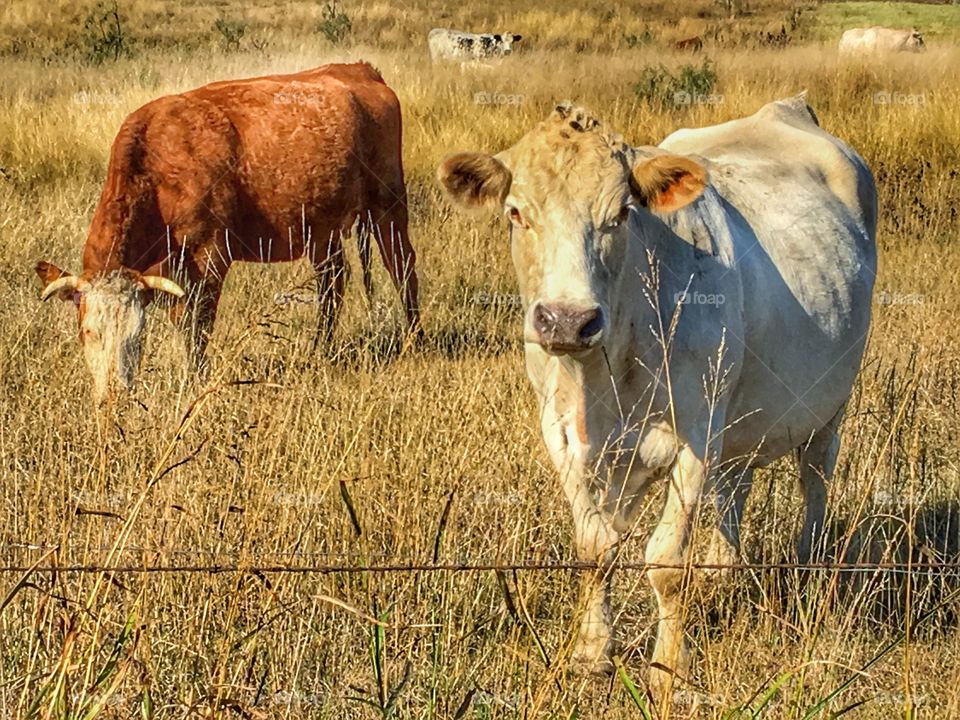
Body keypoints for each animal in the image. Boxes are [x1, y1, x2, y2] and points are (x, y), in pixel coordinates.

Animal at [36, 62, 420, 403]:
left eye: (136, 335)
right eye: (88, 332)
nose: (114, 391)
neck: (157, 166)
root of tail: (360, 69)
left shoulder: (209, 254)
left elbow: (197, 321)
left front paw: (197, 379)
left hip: (388, 204)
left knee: (402, 267)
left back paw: (414, 340)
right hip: (320, 227)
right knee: (333, 281)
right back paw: (320, 349)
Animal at [437, 94, 876, 700]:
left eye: (621, 214)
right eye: (517, 213)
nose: (568, 320)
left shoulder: (694, 434)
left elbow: (666, 563)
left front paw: (669, 667)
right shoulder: (562, 435)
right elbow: (595, 549)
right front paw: (592, 654)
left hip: (828, 404)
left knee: (815, 477)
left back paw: (808, 575)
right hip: (737, 416)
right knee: (734, 488)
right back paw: (721, 579)